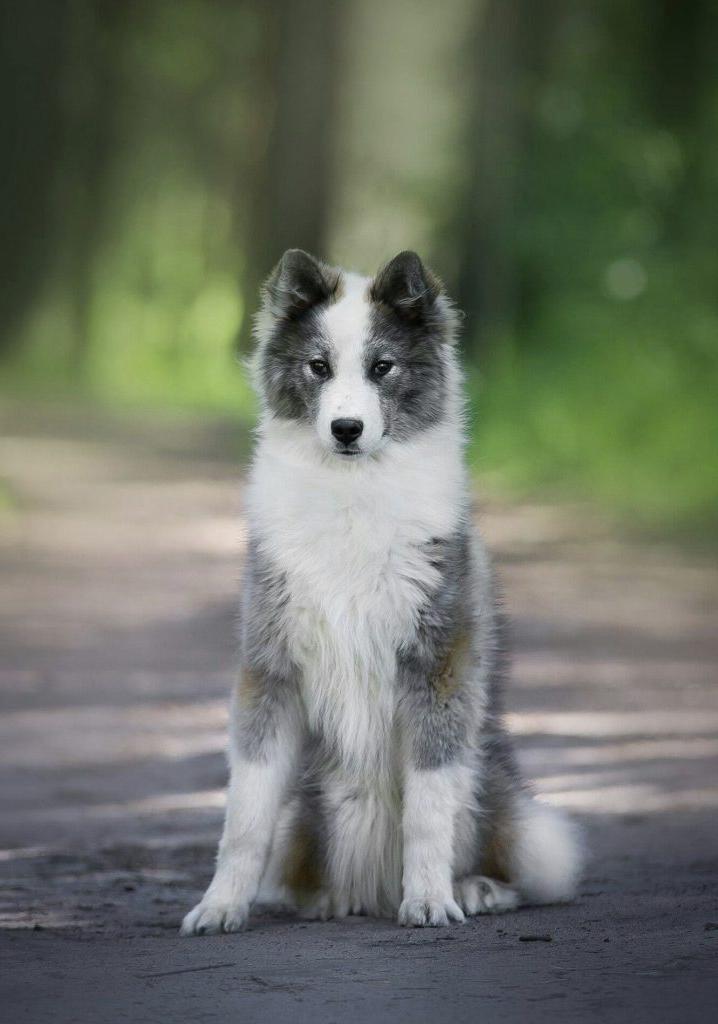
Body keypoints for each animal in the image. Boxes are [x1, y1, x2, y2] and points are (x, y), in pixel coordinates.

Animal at [180, 249, 581, 937]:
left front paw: (430, 900)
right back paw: (325, 899)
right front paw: (220, 905)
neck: (352, 494)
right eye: (319, 366)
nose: (347, 428)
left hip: (492, 788)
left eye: (381, 367)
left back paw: (474, 888)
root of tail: (370, 894)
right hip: (307, 815)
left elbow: (426, 811)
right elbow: (245, 817)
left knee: (502, 852)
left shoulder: (436, 669)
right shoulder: (270, 670)